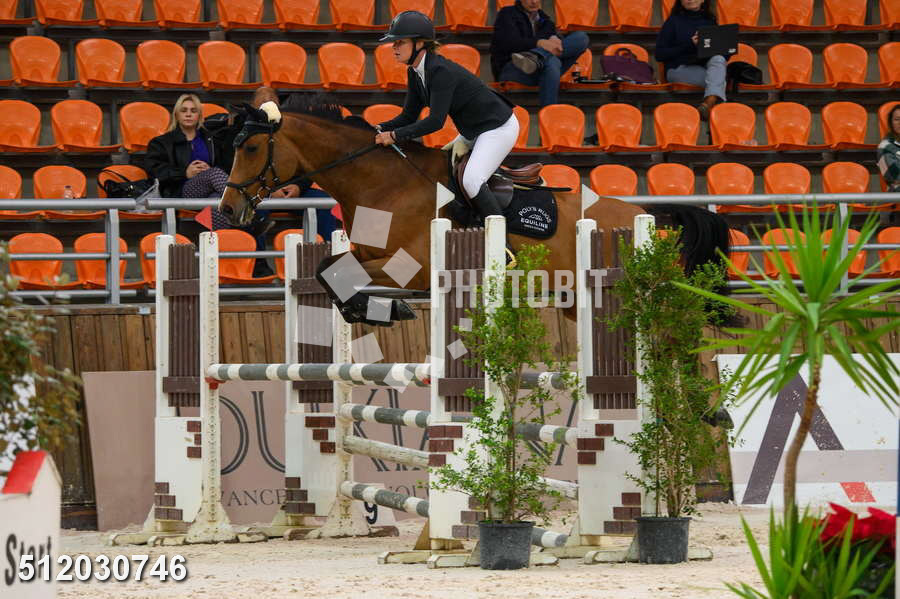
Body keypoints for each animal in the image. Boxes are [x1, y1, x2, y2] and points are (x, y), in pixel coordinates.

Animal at [219, 98, 729, 326]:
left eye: (250, 148)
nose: (227, 211)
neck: (383, 183)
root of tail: (644, 213)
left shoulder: (414, 267)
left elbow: (342, 275)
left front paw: (390, 308)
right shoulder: (364, 253)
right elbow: (328, 270)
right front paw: (370, 311)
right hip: (572, 301)